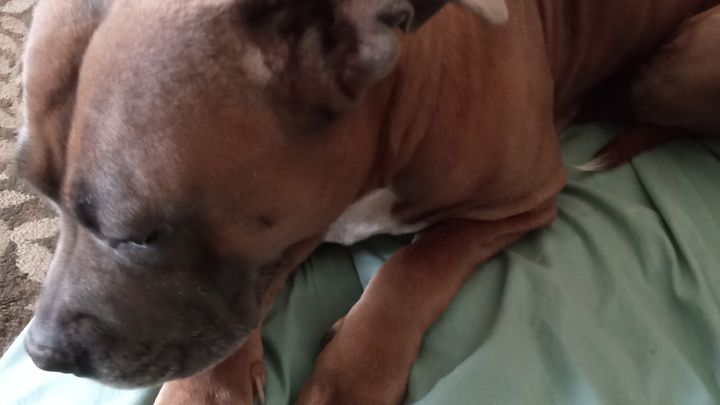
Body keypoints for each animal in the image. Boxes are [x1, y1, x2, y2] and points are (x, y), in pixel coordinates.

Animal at [16, 0, 720, 404]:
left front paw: (350, 377)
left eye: (137, 234)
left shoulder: (523, 204)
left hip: (685, 65)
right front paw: (203, 389)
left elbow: (417, 266)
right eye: (40, 194)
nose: (42, 353)